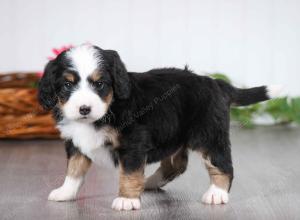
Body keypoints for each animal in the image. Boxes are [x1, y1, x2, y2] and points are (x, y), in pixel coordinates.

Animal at [38, 43, 282, 211]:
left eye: (100, 84)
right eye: (67, 85)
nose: (84, 109)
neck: (110, 107)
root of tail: (216, 83)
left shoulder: (133, 142)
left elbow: (129, 172)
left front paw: (126, 199)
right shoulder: (75, 143)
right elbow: (74, 170)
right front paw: (65, 192)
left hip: (209, 135)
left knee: (222, 164)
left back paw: (217, 194)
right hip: (175, 135)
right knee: (176, 164)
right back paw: (149, 182)